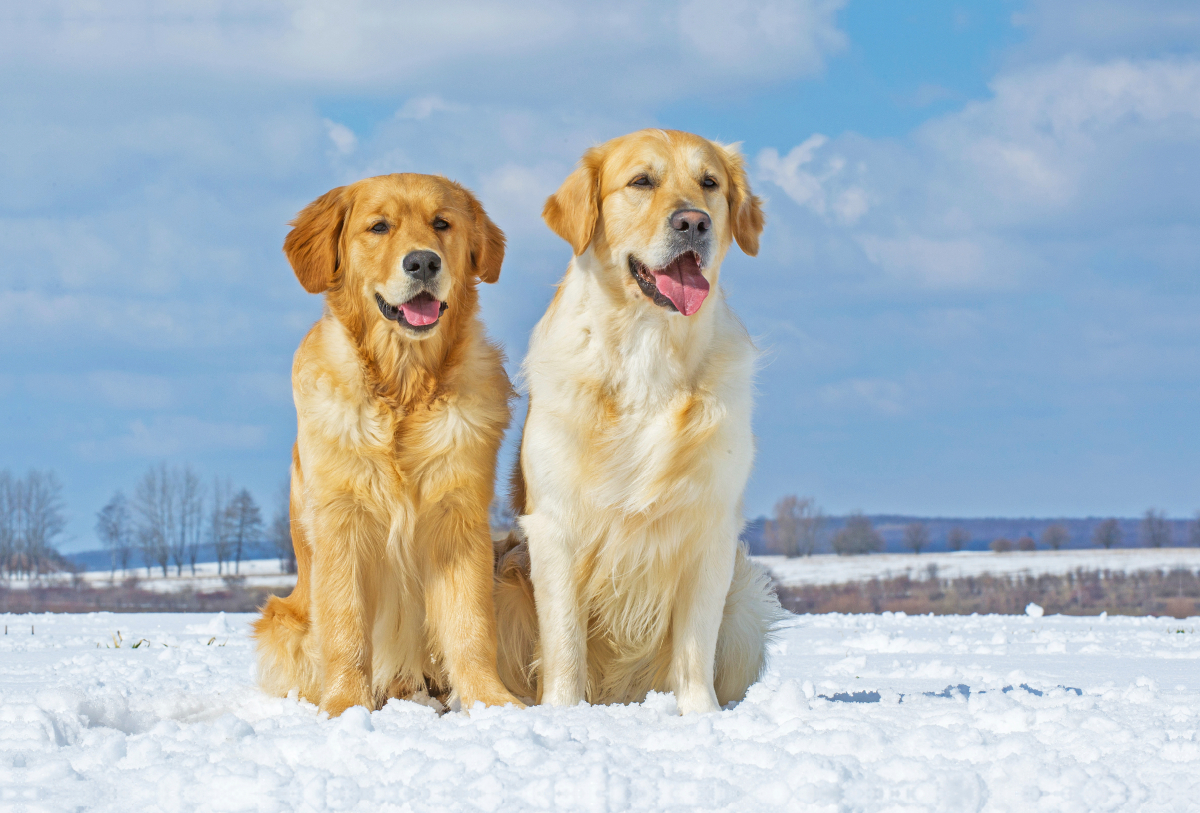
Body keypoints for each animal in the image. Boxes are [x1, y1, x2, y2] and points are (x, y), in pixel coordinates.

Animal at [255, 173, 523, 719]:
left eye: (442, 223)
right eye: (379, 227)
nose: (423, 262)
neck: (404, 387)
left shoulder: (459, 517)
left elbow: (470, 625)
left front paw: (492, 702)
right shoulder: (342, 520)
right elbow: (346, 628)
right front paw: (344, 707)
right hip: (282, 622)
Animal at [492, 127, 782, 714]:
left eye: (709, 183)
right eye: (641, 182)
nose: (694, 222)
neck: (649, 351)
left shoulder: (710, 528)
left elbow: (695, 644)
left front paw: (702, 716)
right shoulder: (554, 528)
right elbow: (565, 643)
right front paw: (562, 713)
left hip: (744, 601)